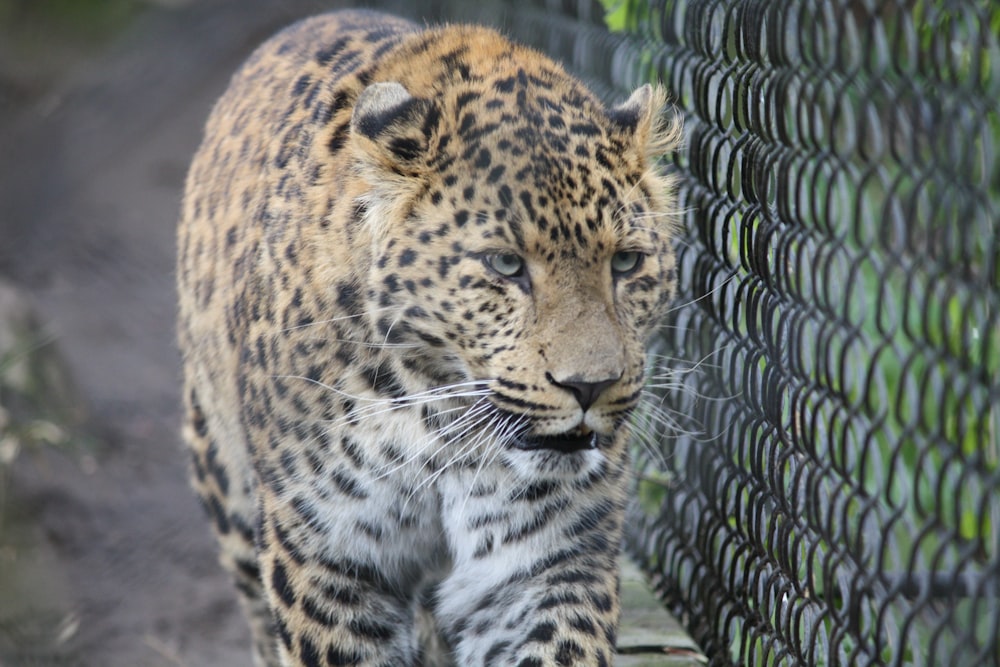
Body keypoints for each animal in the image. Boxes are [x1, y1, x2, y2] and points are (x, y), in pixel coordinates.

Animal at [178, 10, 680, 667]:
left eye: (625, 263)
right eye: (505, 265)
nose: (590, 387)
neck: (439, 416)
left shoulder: (547, 563)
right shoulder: (327, 553)